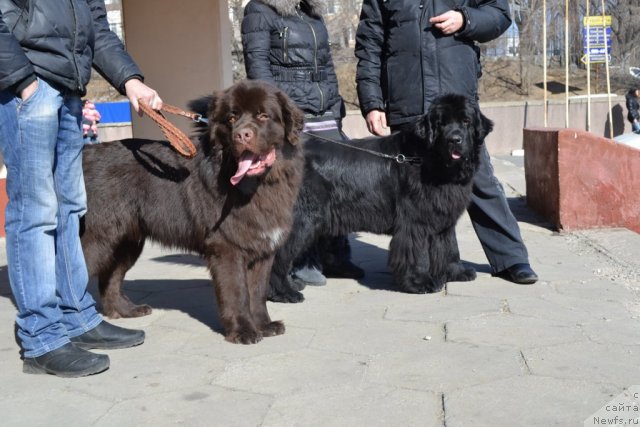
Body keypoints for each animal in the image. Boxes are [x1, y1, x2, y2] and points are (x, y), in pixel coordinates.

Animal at [80, 82, 304, 346]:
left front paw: (264, 325)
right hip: (97, 237)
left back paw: (125, 310)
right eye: (231, 118)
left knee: (110, 277)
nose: (242, 135)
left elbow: (257, 292)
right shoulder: (226, 248)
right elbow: (237, 292)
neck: (257, 185)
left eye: (263, 116)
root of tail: (85, 154)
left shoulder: (262, 249)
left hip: (126, 240)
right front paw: (244, 331)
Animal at [268, 95, 492, 304]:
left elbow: (448, 246)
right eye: (441, 123)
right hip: (302, 220)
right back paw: (284, 292)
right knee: (277, 256)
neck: (427, 158)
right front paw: (419, 282)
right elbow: (417, 252)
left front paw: (456, 272)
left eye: (466, 121)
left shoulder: (442, 214)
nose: (455, 139)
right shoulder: (414, 221)